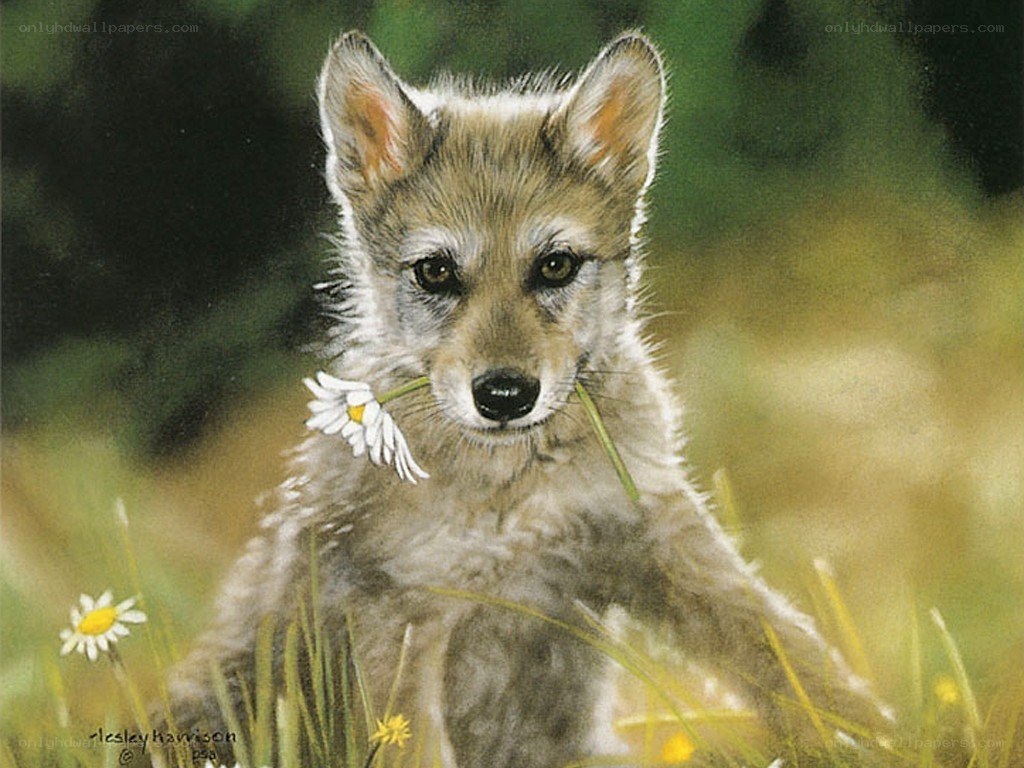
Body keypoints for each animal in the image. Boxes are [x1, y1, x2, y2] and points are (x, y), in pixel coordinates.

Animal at [162, 30, 891, 766]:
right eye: (435, 272)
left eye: (556, 265)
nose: (505, 395)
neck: (517, 491)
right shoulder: (404, 616)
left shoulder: (654, 534)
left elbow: (792, 659)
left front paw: (888, 738)